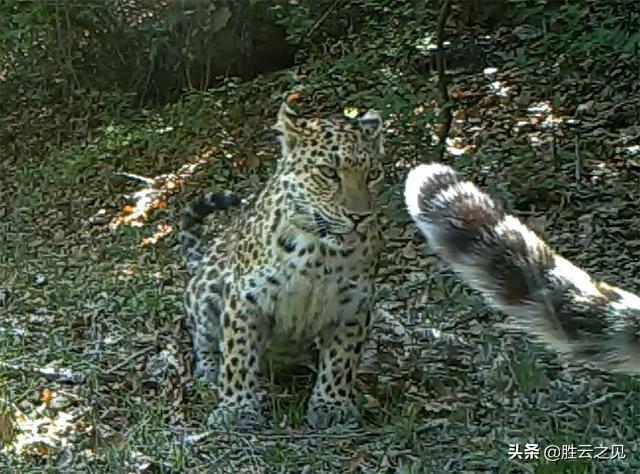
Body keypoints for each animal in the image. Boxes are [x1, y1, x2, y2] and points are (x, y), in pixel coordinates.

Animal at [179, 101, 384, 430]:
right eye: (329, 172)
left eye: (373, 174)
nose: (360, 216)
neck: (320, 255)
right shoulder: (243, 297)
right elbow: (237, 354)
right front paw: (237, 408)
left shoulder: (354, 306)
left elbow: (341, 360)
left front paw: (332, 405)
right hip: (207, 290)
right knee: (203, 337)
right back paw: (209, 371)